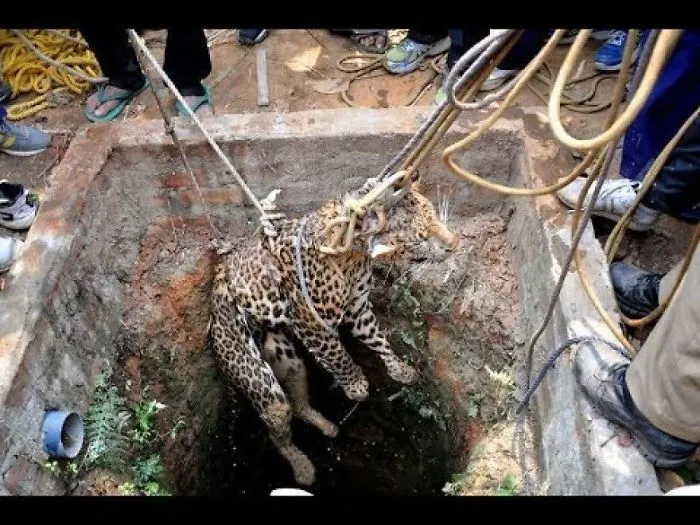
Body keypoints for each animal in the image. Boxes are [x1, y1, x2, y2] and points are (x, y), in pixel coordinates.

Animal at [209, 173, 460, 486]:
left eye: (434, 215)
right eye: (421, 238)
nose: (455, 243)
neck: (354, 250)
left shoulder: (357, 308)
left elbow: (377, 338)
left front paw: (399, 369)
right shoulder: (310, 320)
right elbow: (337, 355)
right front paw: (356, 386)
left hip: (285, 357)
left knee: (298, 401)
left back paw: (327, 427)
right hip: (253, 370)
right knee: (277, 424)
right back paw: (302, 468)